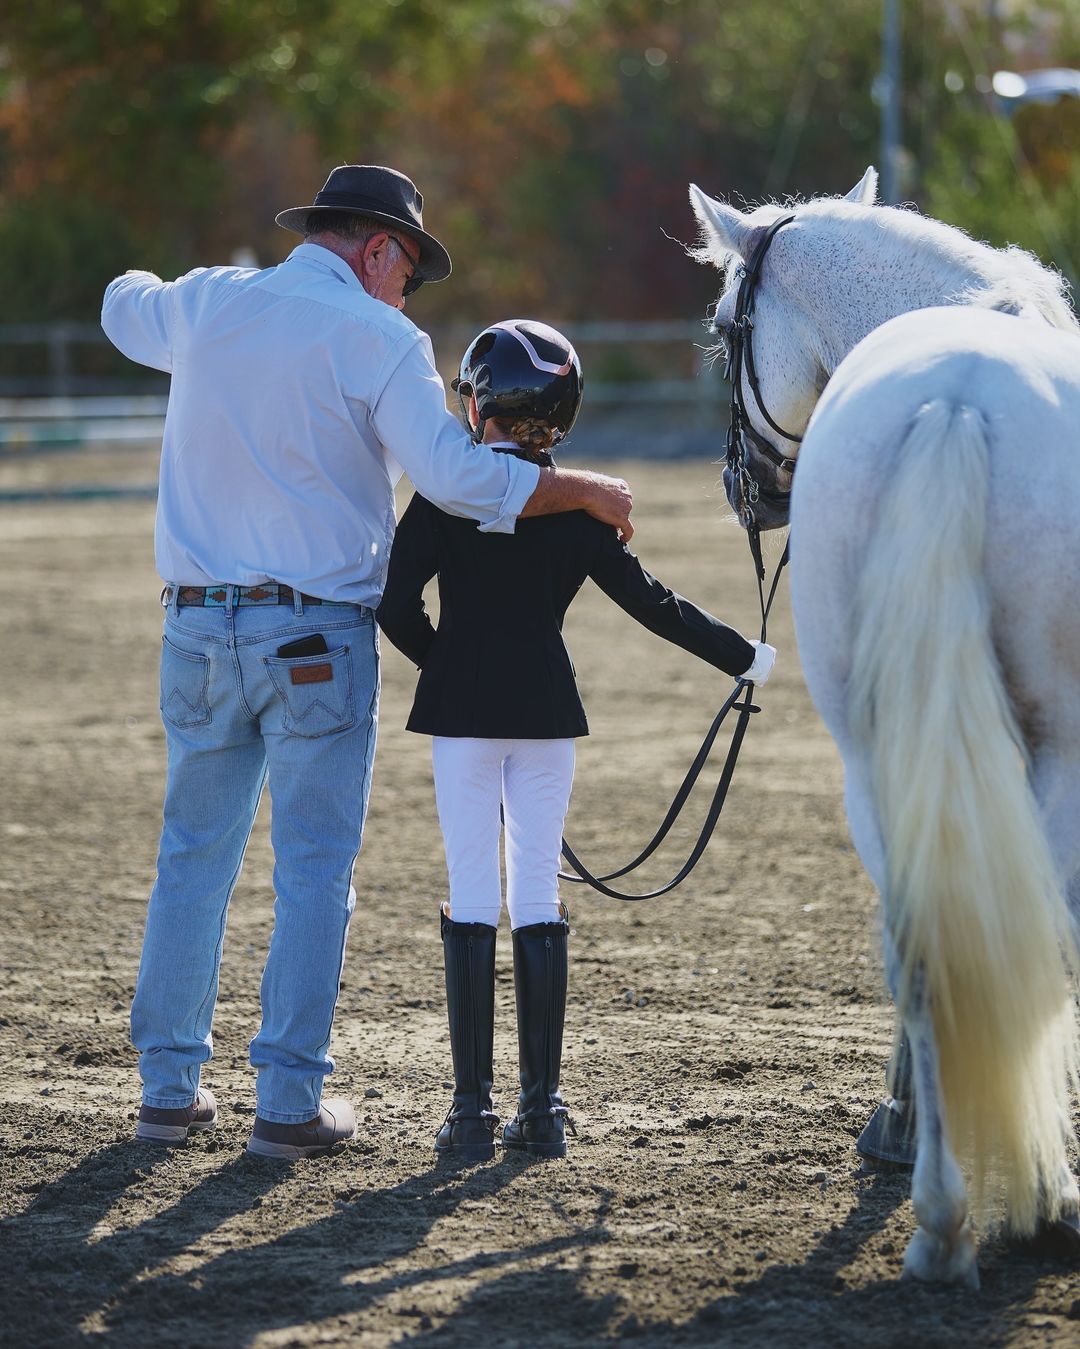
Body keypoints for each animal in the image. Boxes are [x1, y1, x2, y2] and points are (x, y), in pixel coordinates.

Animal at [690, 168, 1078, 1284]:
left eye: (723, 327)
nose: (737, 485)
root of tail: (956, 395)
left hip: (869, 758)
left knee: (925, 937)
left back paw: (941, 1218)